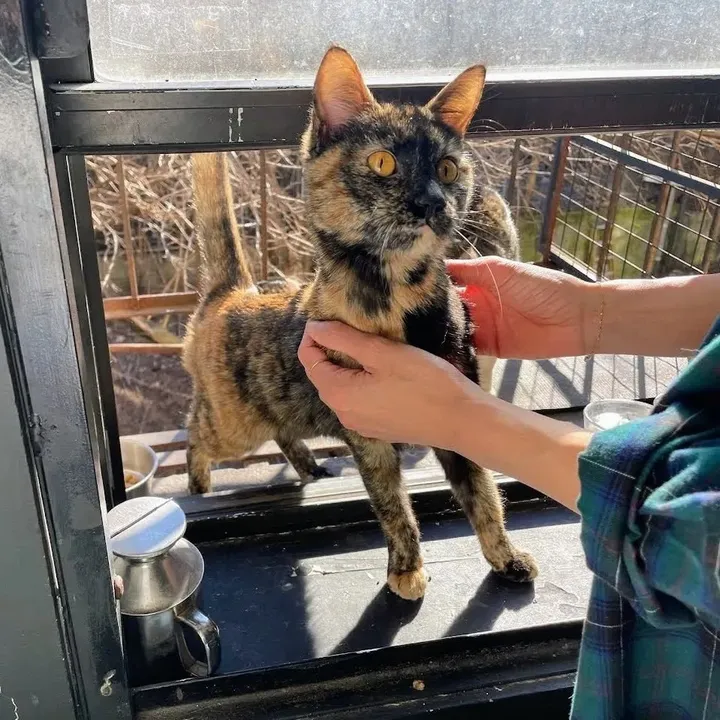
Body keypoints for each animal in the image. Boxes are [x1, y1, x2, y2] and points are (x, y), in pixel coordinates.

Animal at [183, 45, 536, 600]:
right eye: (382, 162)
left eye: (448, 168)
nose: (433, 201)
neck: (398, 296)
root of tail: (231, 295)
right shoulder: (366, 428)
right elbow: (393, 507)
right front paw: (406, 570)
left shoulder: (456, 403)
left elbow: (483, 495)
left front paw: (505, 557)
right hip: (233, 425)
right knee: (195, 431)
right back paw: (198, 489)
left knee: (281, 433)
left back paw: (311, 468)